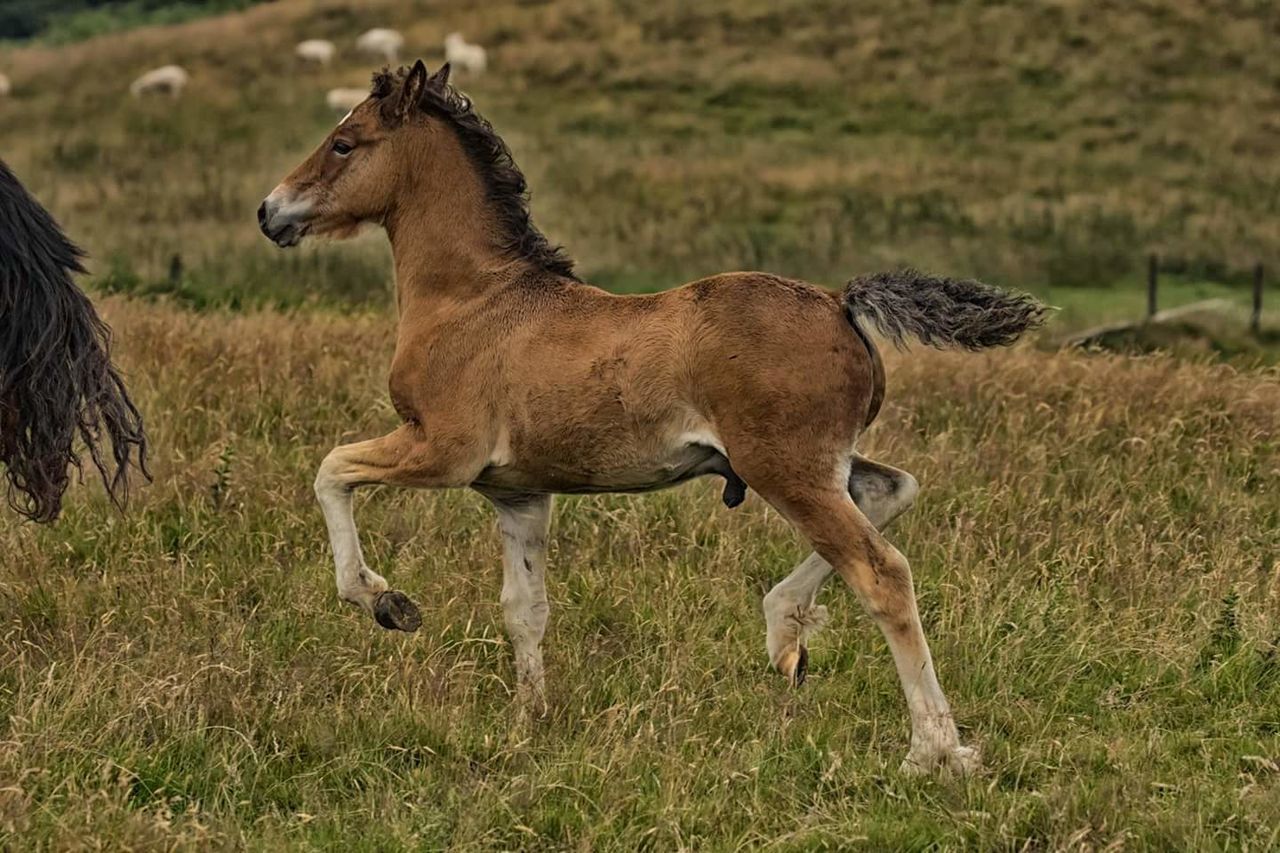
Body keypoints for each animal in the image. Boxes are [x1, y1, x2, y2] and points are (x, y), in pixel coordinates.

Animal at [257, 63, 1039, 773]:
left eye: (344, 143)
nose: (269, 211)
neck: (473, 300)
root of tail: (841, 302)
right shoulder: (518, 492)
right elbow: (524, 606)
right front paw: (529, 721)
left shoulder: (442, 450)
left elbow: (331, 470)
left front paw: (386, 602)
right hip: (821, 465)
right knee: (892, 490)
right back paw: (785, 633)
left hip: (785, 468)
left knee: (882, 572)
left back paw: (934, 751)